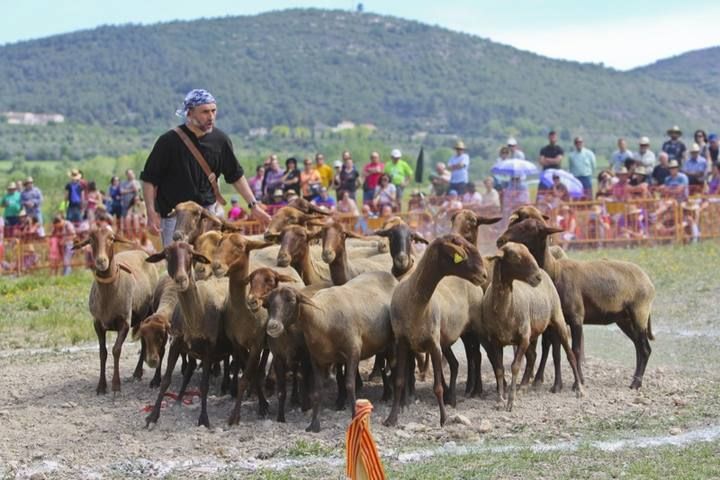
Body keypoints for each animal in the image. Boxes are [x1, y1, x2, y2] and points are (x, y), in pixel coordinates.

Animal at [72, 227, 159, 396]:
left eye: (111, 239)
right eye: (90, 240)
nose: (101, 261)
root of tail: (141, 252)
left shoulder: (124, 322)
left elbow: (116, 350)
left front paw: (116, 385)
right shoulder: (97, 324)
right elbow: (103, 353)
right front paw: (101, 386)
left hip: (150, 313)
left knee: (146, 341)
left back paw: (138, 373)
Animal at [382, 234, 490, 426]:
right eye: (464, 250)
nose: (483, 274)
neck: (416, 303)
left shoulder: (433, 344)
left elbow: (437, 386)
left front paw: (443, 419)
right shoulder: (402, 342)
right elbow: (400, 381)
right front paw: (391, 418)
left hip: (475, 328)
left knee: (478, 355)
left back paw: (476, 391)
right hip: (449, 338)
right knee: (456, 363)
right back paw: (452, 398)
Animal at [478, 242, 584, 410]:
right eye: (515, 256)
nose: (537, 277)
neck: (505, 310)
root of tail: (545, 271)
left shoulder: (523, 337)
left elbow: (515, 366)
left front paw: (511, 401)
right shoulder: (495, 341)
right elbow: (499, 369)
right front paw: (500, 400)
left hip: (558, 319)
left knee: (570, 355)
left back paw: (579, 389)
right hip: (534, 331)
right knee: (533, 356)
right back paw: (523, 386)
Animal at [498, 218, 656, 390]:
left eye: (527, 228)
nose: (501, 240)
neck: (555, 272)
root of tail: (648, 281)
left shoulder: (576, 317)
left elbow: (576, 350)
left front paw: (578, 382)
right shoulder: (557, 321)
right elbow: (556, 353)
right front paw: (557, 386)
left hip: (639, 313)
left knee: (645, 349)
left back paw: (636, 383)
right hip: (624, 319)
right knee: (639, 347)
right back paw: (635, 380)